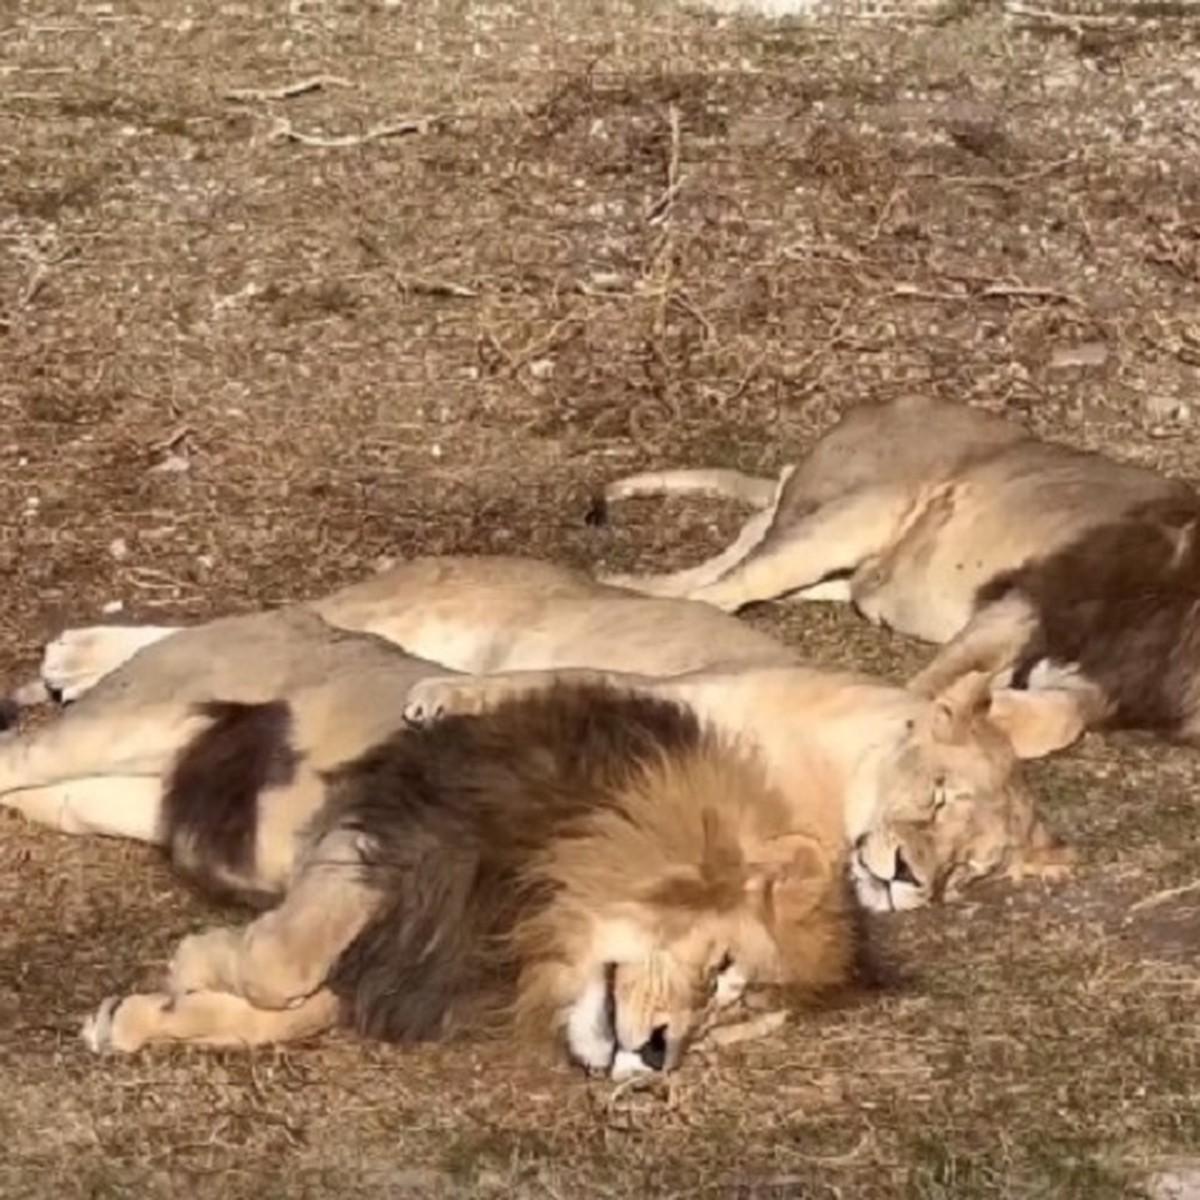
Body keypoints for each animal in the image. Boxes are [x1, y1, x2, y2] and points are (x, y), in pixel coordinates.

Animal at [2, 552, 1080, 907]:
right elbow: (531, 687)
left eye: (972, 869)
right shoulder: (664, 686)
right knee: (282, 613)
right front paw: (443, 703)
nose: (913, 880)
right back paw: (75, 656)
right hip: (386, 613)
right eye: (935, 795)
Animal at [75, 676, 868, 1080]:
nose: (657, 1059)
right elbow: (281, 963)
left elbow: (290, 1010)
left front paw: (146, 1016)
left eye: (722, 1021)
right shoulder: (399, 834)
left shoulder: (423, 952)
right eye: (722, 968)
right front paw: (199, 960)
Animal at [590, 398, 1200, 739]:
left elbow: (1060, 720)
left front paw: (993, 709)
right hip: (863, 509)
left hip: (832, 571)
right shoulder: (1026, 601)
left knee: (727, 573)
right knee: (724, 590)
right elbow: (929, 689)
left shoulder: (1114, 688)